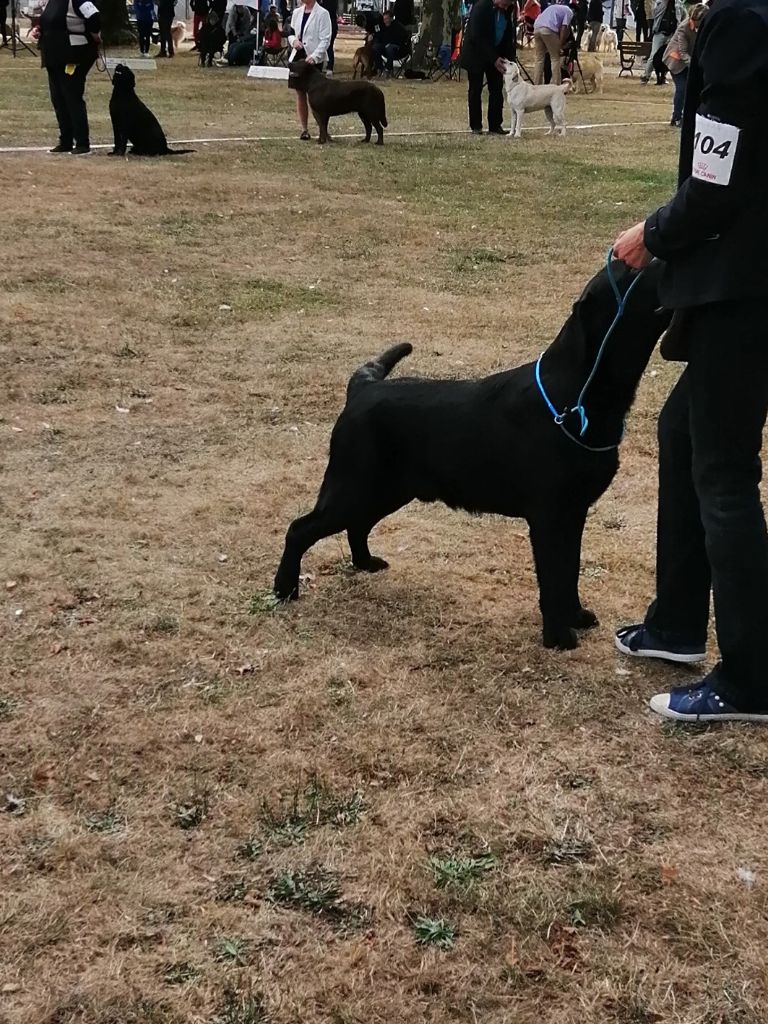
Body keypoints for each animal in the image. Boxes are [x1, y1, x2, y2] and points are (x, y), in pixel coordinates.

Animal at [276, 260, 671, 651]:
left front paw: (575, 615)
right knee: (300, 528)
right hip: (353, 486)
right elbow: (553, 577)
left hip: (386, 491)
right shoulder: (549, 515)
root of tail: (363, 387)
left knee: (356, 524)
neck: (574, 399)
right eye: (631, 269)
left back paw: (365, 562)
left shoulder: (574, 512)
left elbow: (569, 570)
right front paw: (558, 636)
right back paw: (284, 589)